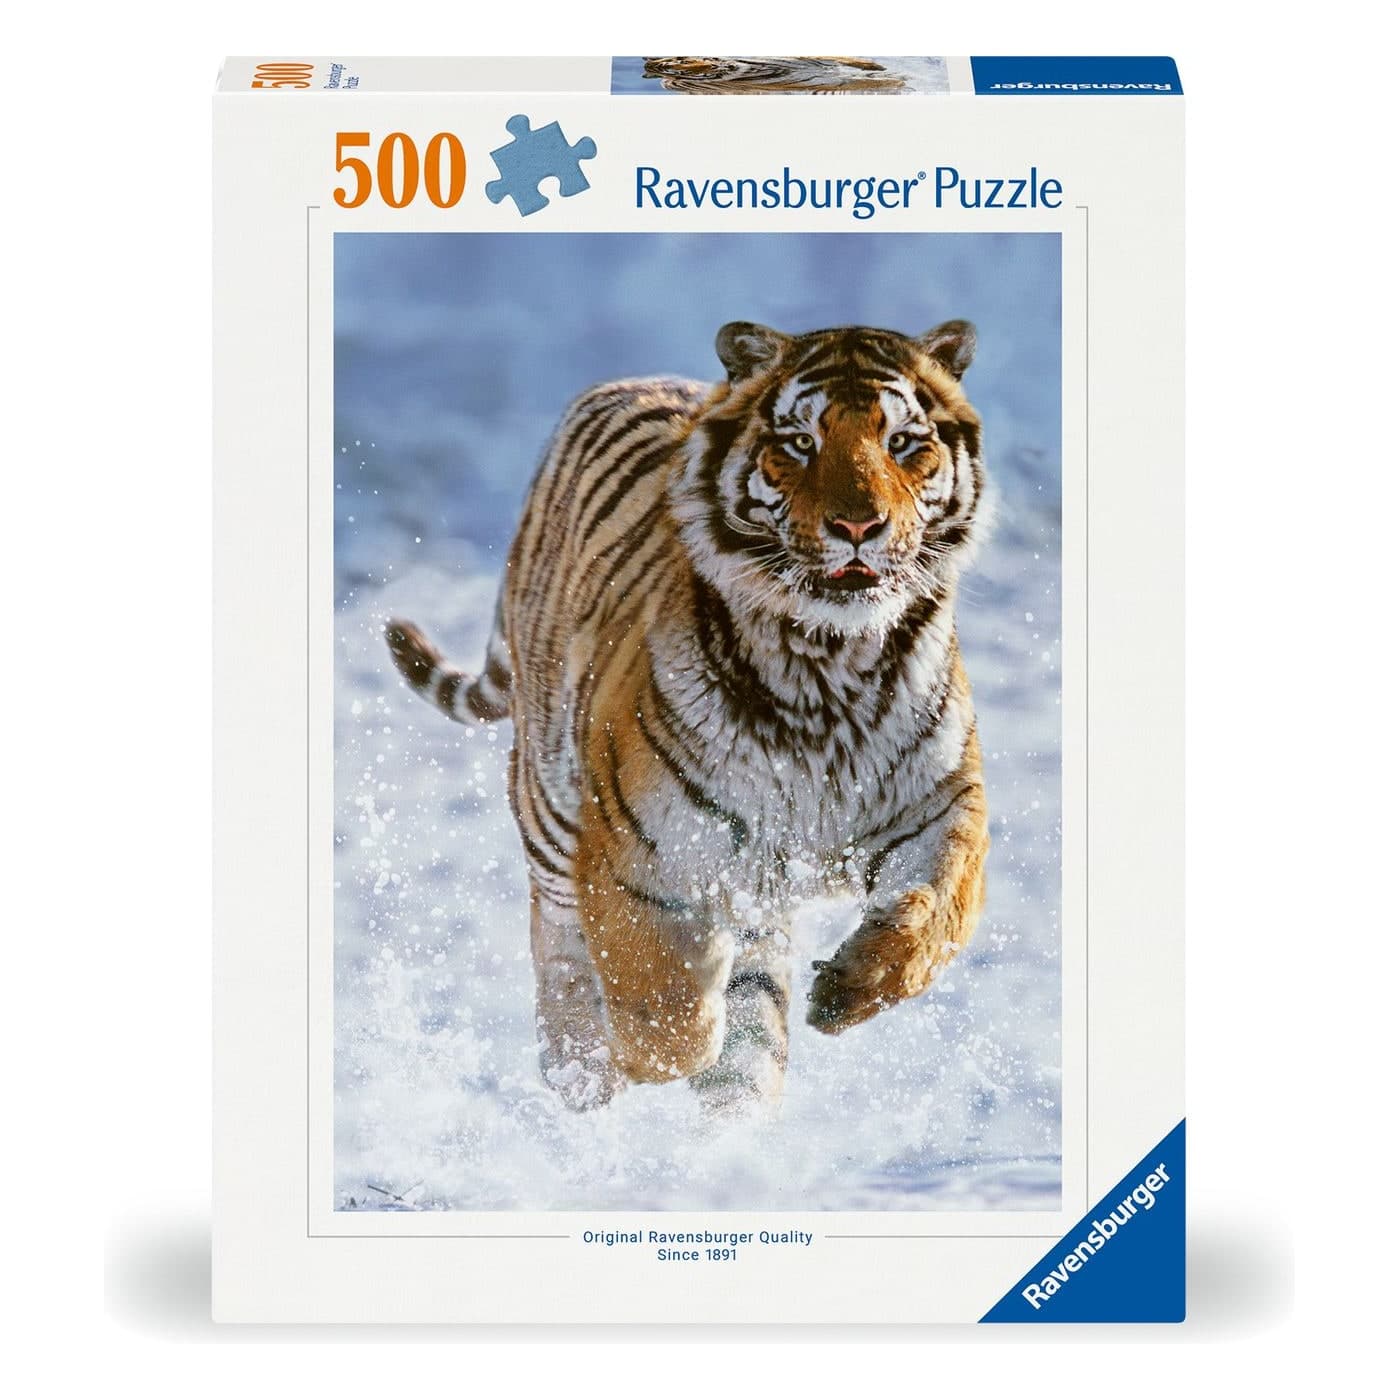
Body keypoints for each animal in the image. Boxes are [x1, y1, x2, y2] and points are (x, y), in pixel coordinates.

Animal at [386, 320, 991, 1115]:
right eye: (800, 443)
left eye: (902, 443)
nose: (859, 525)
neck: (829, 666)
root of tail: (626, 382)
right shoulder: (636, 853)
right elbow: (666, 1017)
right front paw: (636, 1050)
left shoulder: (942, 805)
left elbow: (938, 913)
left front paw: (847, 991)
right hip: (549, 804)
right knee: (558, 941)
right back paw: (580, 1072)